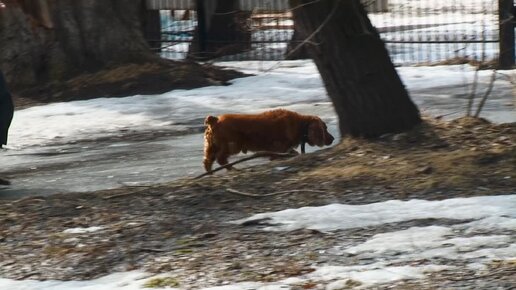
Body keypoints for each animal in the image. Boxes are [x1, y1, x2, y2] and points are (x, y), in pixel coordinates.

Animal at [202, 109, 334, 172]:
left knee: (207, 160)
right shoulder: (278, 150)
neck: (301, 125)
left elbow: (293, 153)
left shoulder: (285, 149)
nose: (333, 139)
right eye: (325, 128)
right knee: (221, 159)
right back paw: (233, 169)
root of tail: (215, 120)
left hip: (213, 146)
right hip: (232, 145)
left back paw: (210, 173)